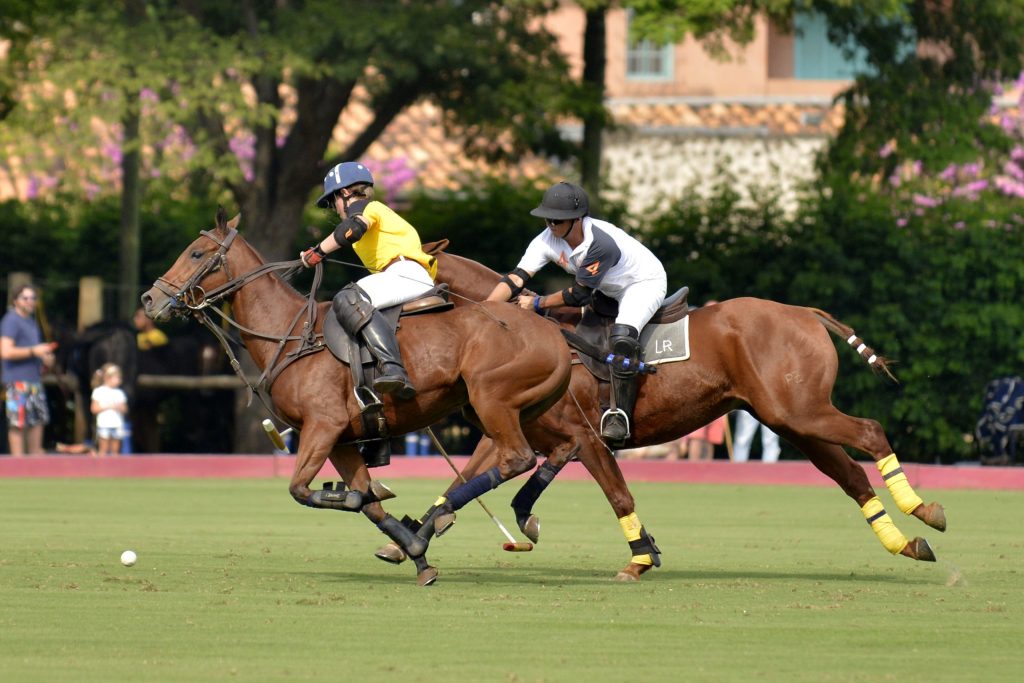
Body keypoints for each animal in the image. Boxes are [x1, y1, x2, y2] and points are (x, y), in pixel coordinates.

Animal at [139, 210, 573, 585]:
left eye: (196, 253)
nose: (149, 300)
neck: (289, 334)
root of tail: (555, 334)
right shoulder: (340, 440)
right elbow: (369, 502)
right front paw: (417, 557)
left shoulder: (322, 427)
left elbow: (311, 490)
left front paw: (366, 500)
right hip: (500, 410)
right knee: (546, 450)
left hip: (493, 400)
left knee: (517, 458)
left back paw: (457, 516)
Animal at [380, 242, 946, 581]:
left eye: (403, 272)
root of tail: (805, 312)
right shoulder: (514, 434)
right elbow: (462, 481)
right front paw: (412, 539)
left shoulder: (584, 437)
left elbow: (617, 494)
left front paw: (639, 558)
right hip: (792, 420)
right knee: (851, 475)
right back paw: (905, 542)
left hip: (801, 411)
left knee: (870, 432)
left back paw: (924, 510)